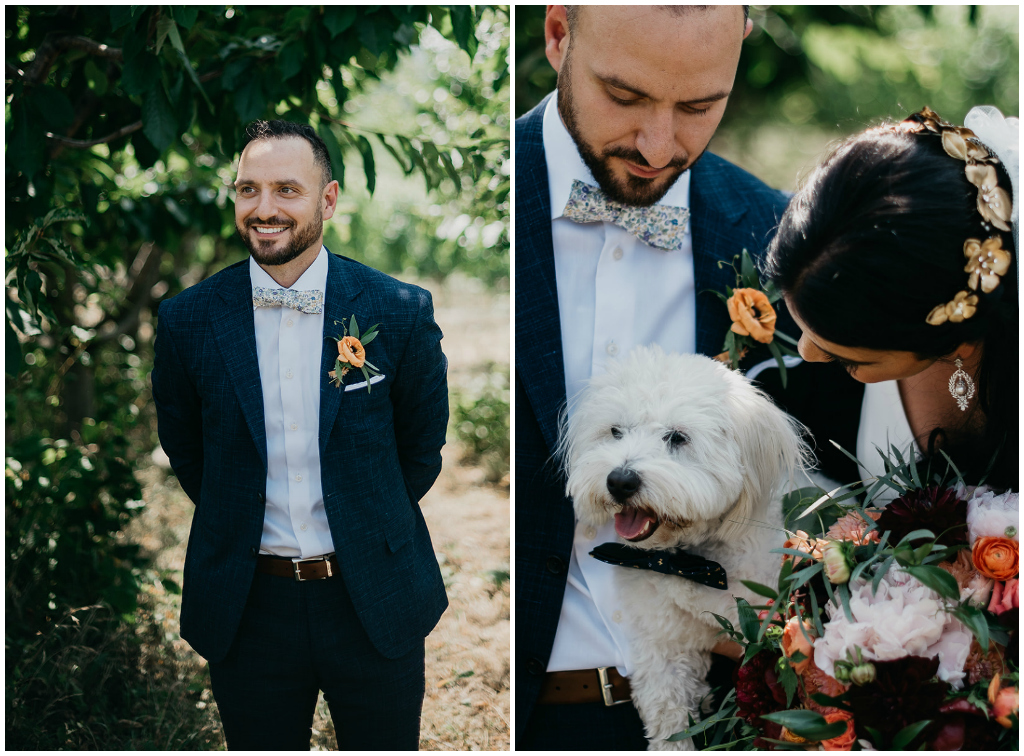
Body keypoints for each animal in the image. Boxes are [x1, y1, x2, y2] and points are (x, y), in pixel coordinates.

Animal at [561, 346, 806, 749]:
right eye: (615, 432)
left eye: (677, 437)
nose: (620, 480)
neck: (686, 560)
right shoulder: (662, 645)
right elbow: (668, 712)